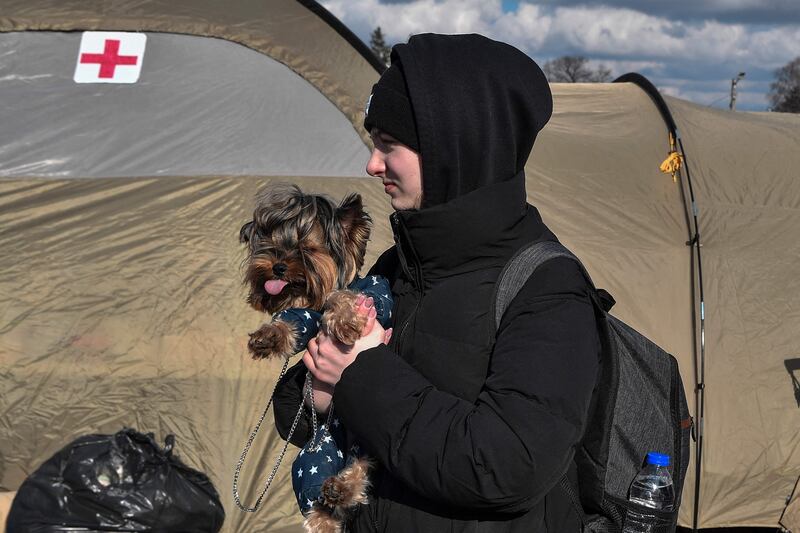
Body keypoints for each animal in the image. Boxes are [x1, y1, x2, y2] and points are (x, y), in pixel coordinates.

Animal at [238, 184, 390, 532]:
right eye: (274, 247)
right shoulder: (304, 316)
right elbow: (292, 320)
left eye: (306, 250)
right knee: (316, 483)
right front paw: (268, 337)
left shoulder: (376, 294)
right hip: (316, 453)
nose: (278, 266)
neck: (315, 302)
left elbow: (348, 295)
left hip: (365, 445)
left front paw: (345, 319)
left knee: (363, 465)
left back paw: (342, 487)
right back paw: (326, 509)